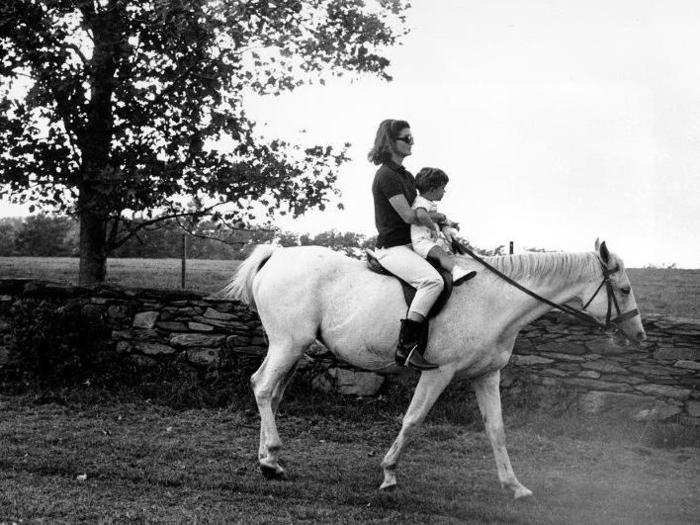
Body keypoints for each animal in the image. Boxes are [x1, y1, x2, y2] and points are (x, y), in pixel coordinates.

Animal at [224, 239, 644, 498]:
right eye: (624, 290)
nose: (639, 334)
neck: (494, 301)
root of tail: (276, 256)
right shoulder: (438, 372)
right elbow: (413, 420)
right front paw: (389, 474)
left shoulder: (486, 376)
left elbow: (496, 430)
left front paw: (514, 486)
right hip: (288, 343)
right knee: (263, 387)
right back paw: (271, 458)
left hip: (290, 348)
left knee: (272, 393)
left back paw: (268, 461)